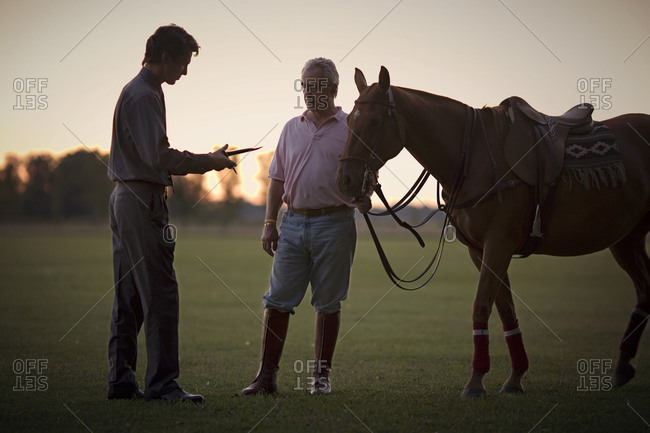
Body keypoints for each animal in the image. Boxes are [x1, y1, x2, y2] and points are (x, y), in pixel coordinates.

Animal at [337, 66, 650, 397]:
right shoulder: (480, 250)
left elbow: (481, 307)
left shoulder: (498, 244)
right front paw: (515, 378)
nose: (345, 179)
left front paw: (475, 382)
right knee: (645, 288)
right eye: (349, 120)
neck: (472, 156)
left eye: (374, 121)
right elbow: (505, 311)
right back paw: (623, 366)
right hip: (626, 238)